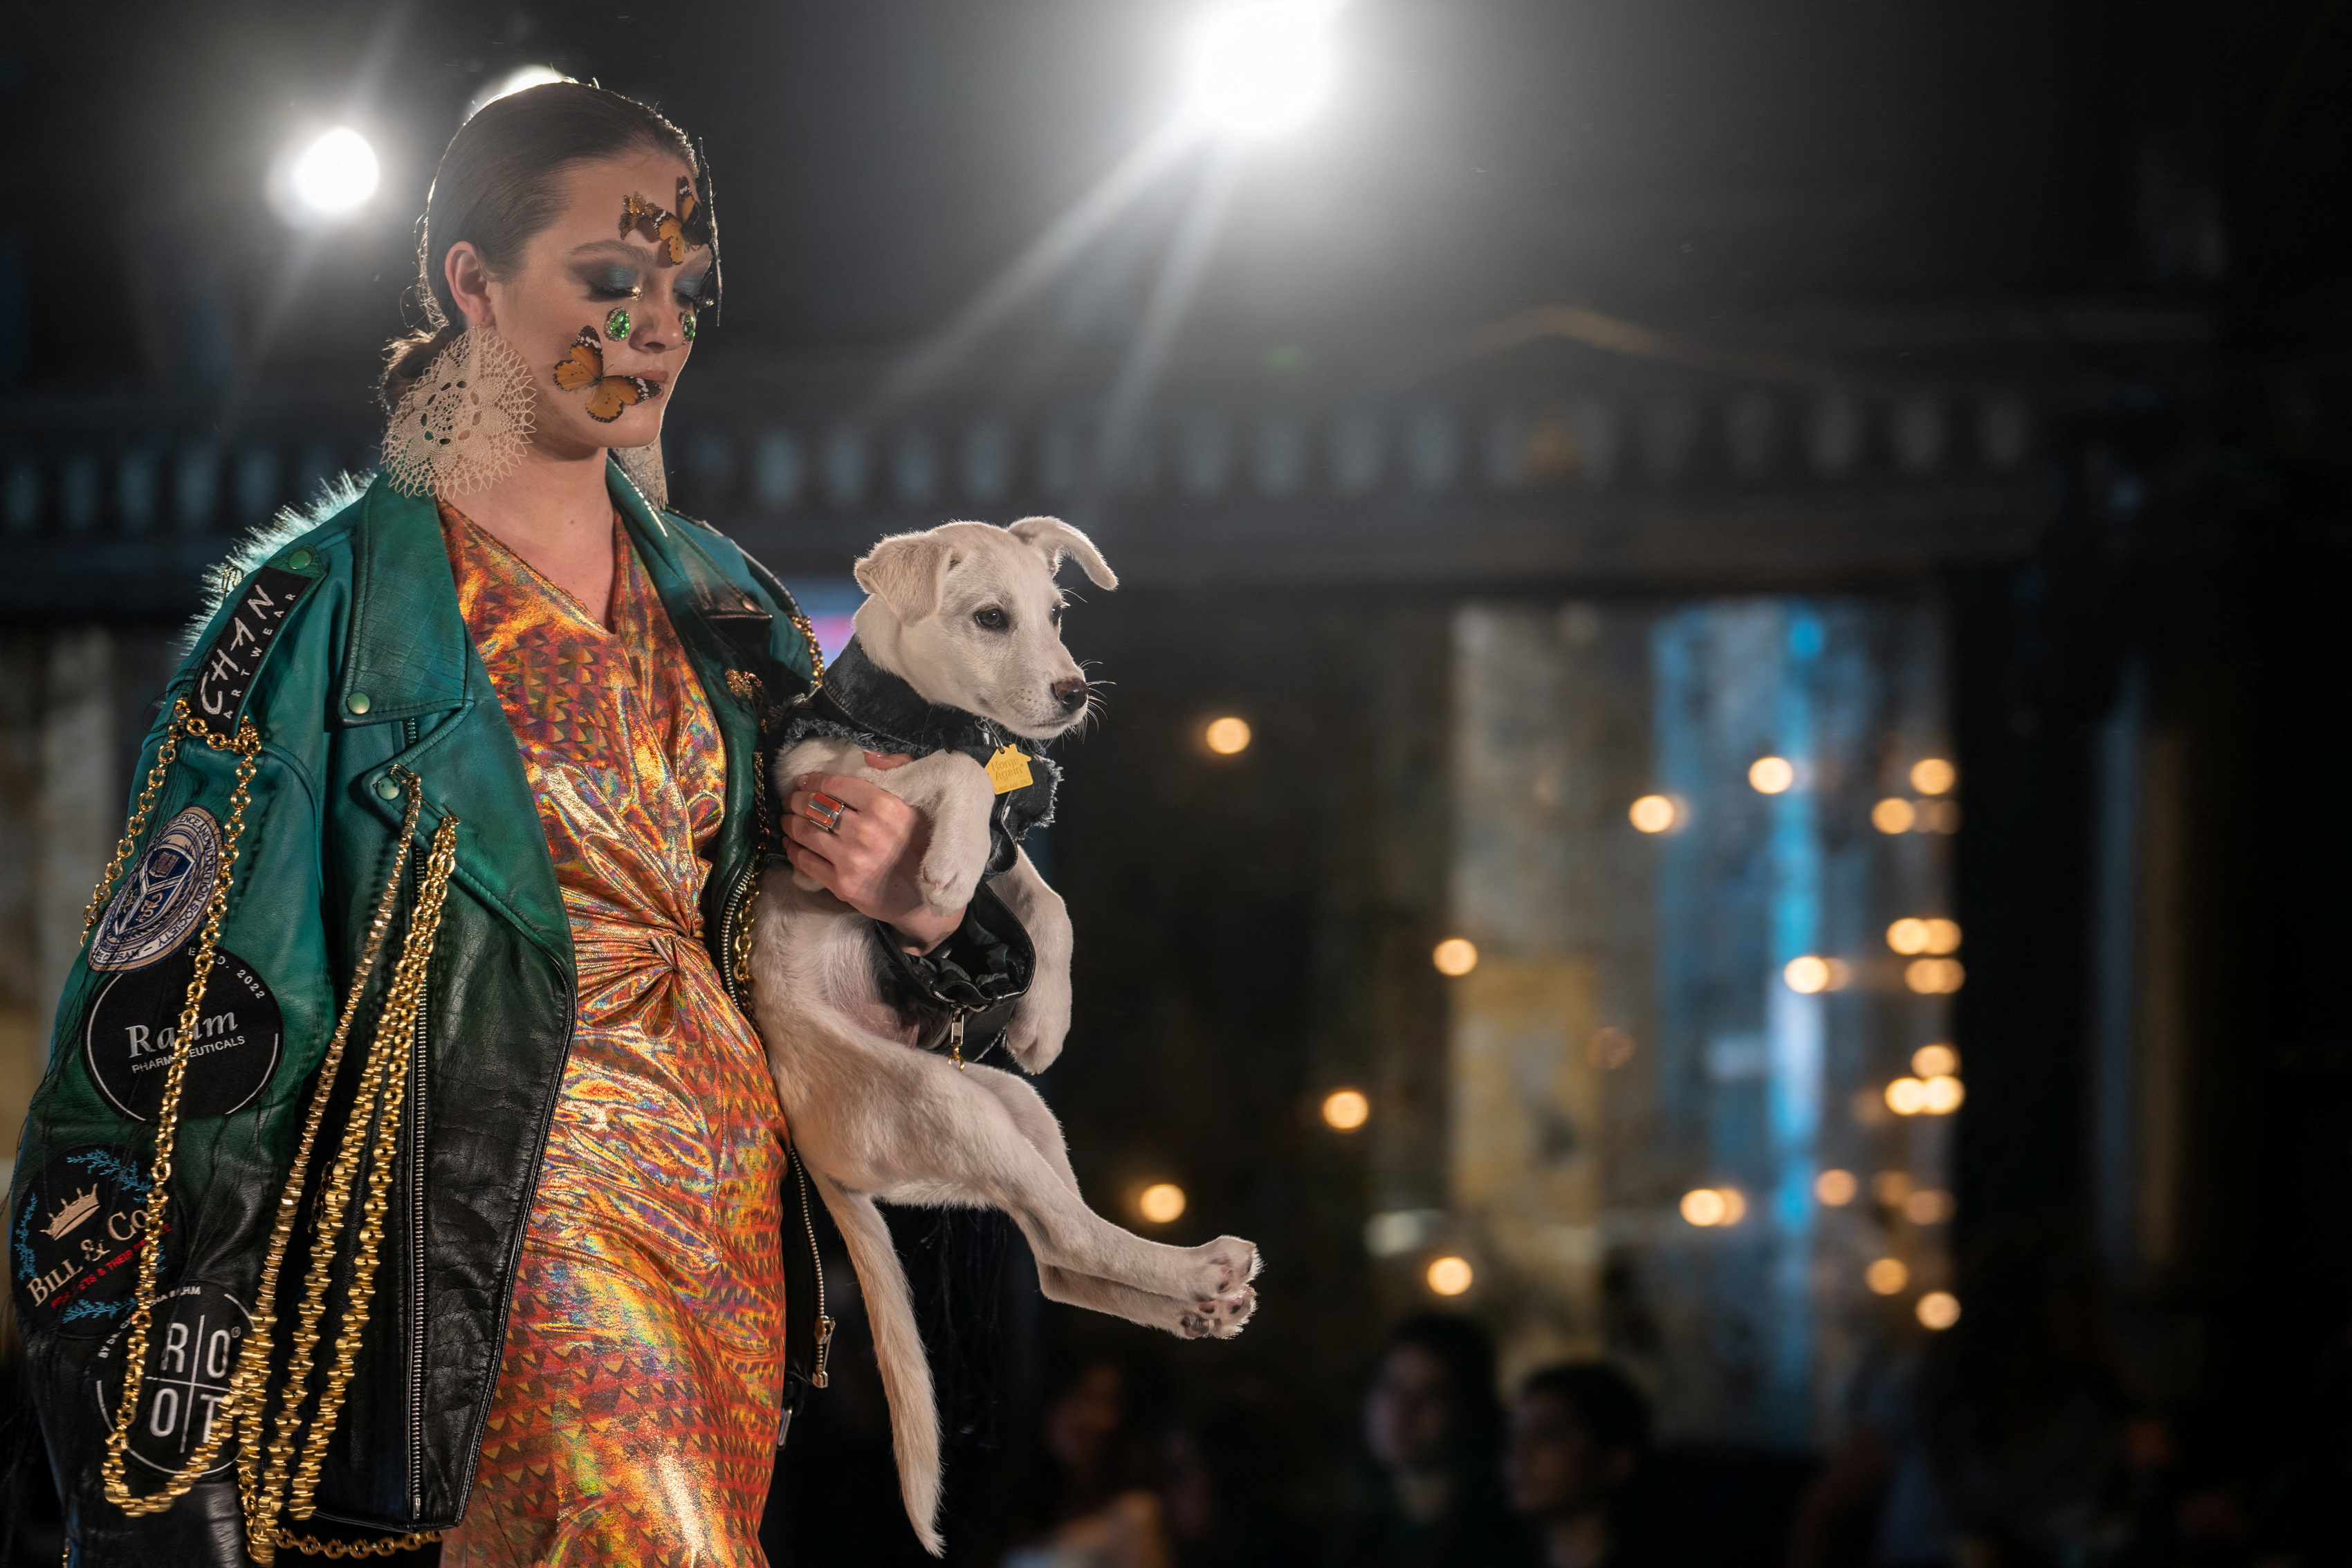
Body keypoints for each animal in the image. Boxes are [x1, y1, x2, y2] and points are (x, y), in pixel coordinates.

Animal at [757, 517, 1270, 1560]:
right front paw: (945, 867)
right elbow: (956, 780)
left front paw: (1044, 1016)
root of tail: (818, 1152)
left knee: (1061, 1253)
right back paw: (1200, 1269)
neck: (917, 715)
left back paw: (1198, 1296)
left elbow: (1050, 905)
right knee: (1068, 1234)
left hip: (1007, 1107)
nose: (1074, 691)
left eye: (1058, 612)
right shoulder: (821, 798)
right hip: (942, 1103)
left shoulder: (1011, 845)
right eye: (990, 617)